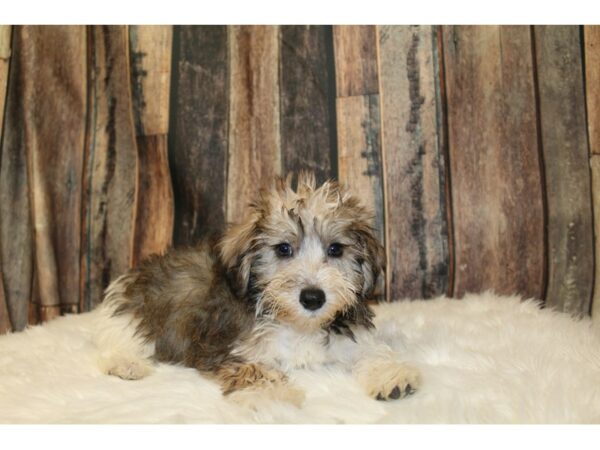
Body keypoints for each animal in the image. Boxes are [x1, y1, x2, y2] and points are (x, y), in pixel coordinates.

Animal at [95, 172, 422, 404]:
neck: (298, 325)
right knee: (122, 338)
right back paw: (125, 364)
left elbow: (371, 350)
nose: (312, 297)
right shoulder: (228, 349)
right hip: (139, 313)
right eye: (283, 249)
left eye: (336, 249)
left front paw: (390, 375)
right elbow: (253, 370)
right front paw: (275, 395)